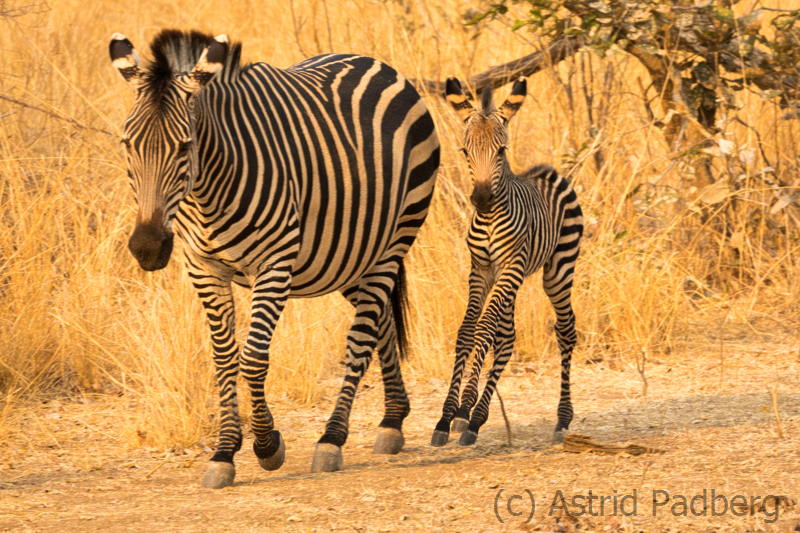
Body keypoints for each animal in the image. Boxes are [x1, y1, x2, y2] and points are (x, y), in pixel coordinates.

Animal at [108, 28, 438, 486]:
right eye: (127, 144)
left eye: (184, 147)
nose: (147, 247)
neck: (208, 192)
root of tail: (377, 63)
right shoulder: (204, 268)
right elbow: (225, 358)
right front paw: (224, 452)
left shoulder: (275, 264)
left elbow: (252, 359)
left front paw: (267, 447)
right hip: (350, 255)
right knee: (380, 320)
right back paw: (393, 420)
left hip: (396, 237)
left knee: (361, 336)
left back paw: (332, 439)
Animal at [428, 77, 584, 446]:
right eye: (464, 151)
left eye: (501, 151)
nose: (483, 198)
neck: (489, 217)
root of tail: (551, 173)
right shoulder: (481, 270)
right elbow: (468, 331)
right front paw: (449, 416)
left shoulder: (510, 265)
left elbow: (484, 330)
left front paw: (463, 407)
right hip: (510, 277)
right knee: (508, 337)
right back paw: (477, 420)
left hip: (557, 270)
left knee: (566, 330)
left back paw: (562, 419)